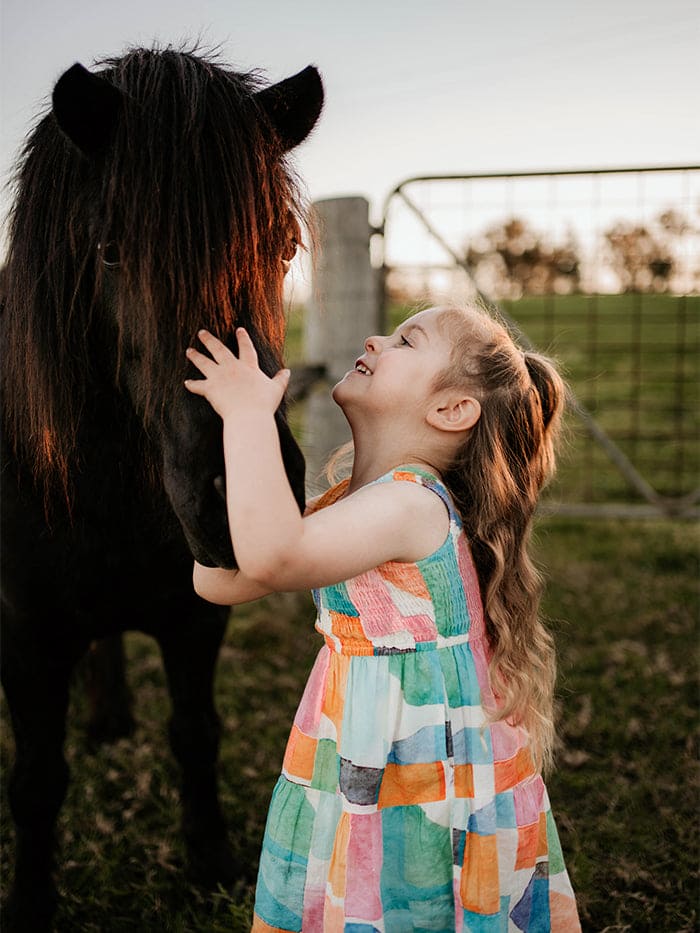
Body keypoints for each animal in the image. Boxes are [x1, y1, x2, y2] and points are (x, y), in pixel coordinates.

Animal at [0, 47, 322, 928]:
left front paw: (211, 861)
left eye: (283, 246)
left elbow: (195, 731)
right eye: (111, 252)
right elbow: (36, 781)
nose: (246, 503)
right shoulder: (26, 638)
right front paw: (31, 902)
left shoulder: (195, 616)